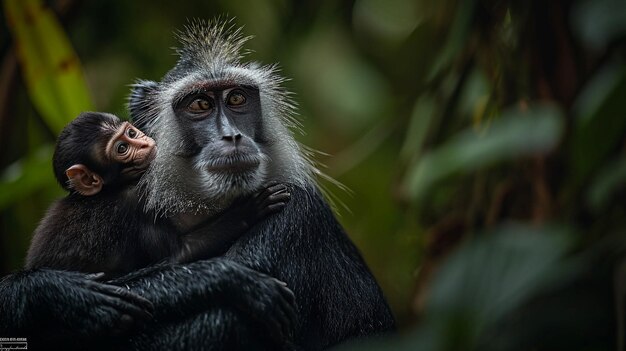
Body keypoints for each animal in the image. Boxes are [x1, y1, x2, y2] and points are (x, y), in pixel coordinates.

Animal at [24, 113, 288, 278]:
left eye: (131, 133)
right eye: (122, 148)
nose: (143, 143)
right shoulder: (136, 202)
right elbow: (178, 255)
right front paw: (249, 209)